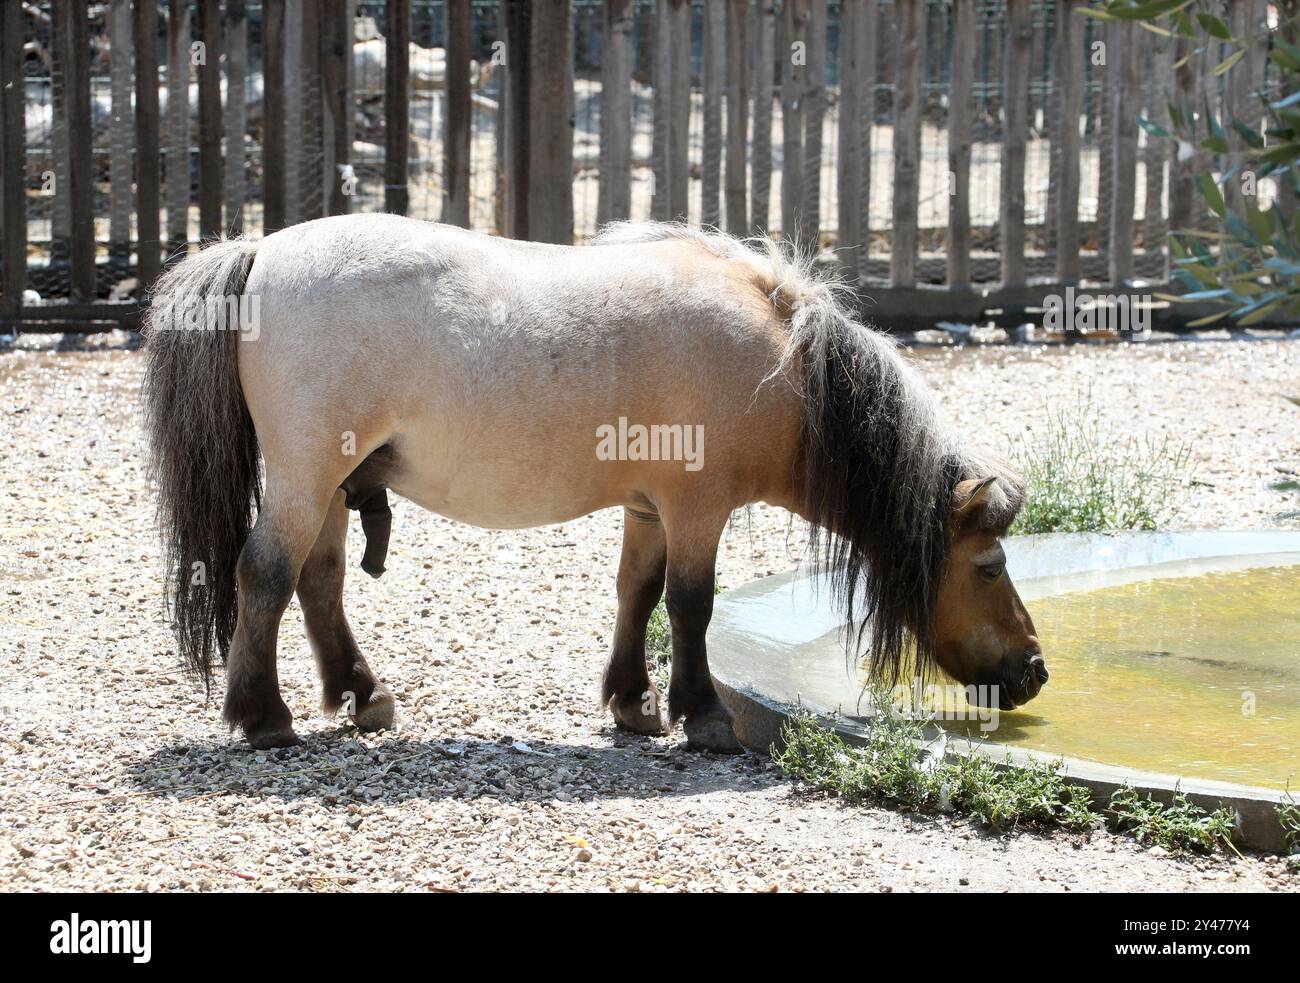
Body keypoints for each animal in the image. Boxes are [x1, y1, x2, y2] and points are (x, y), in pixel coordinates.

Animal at [142, 214, 1048, 752]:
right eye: (991, 566)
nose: (1036, 668)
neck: (785, 368)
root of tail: (261, 250)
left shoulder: (649, 509)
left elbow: (636, 595)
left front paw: (633, 702)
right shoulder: (696, 507)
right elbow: (691, 604)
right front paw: (703, 713)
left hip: (332, 482)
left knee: (319, 581)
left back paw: (362, 693)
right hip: (308, 474)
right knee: (266, 574)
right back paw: (264, 715)